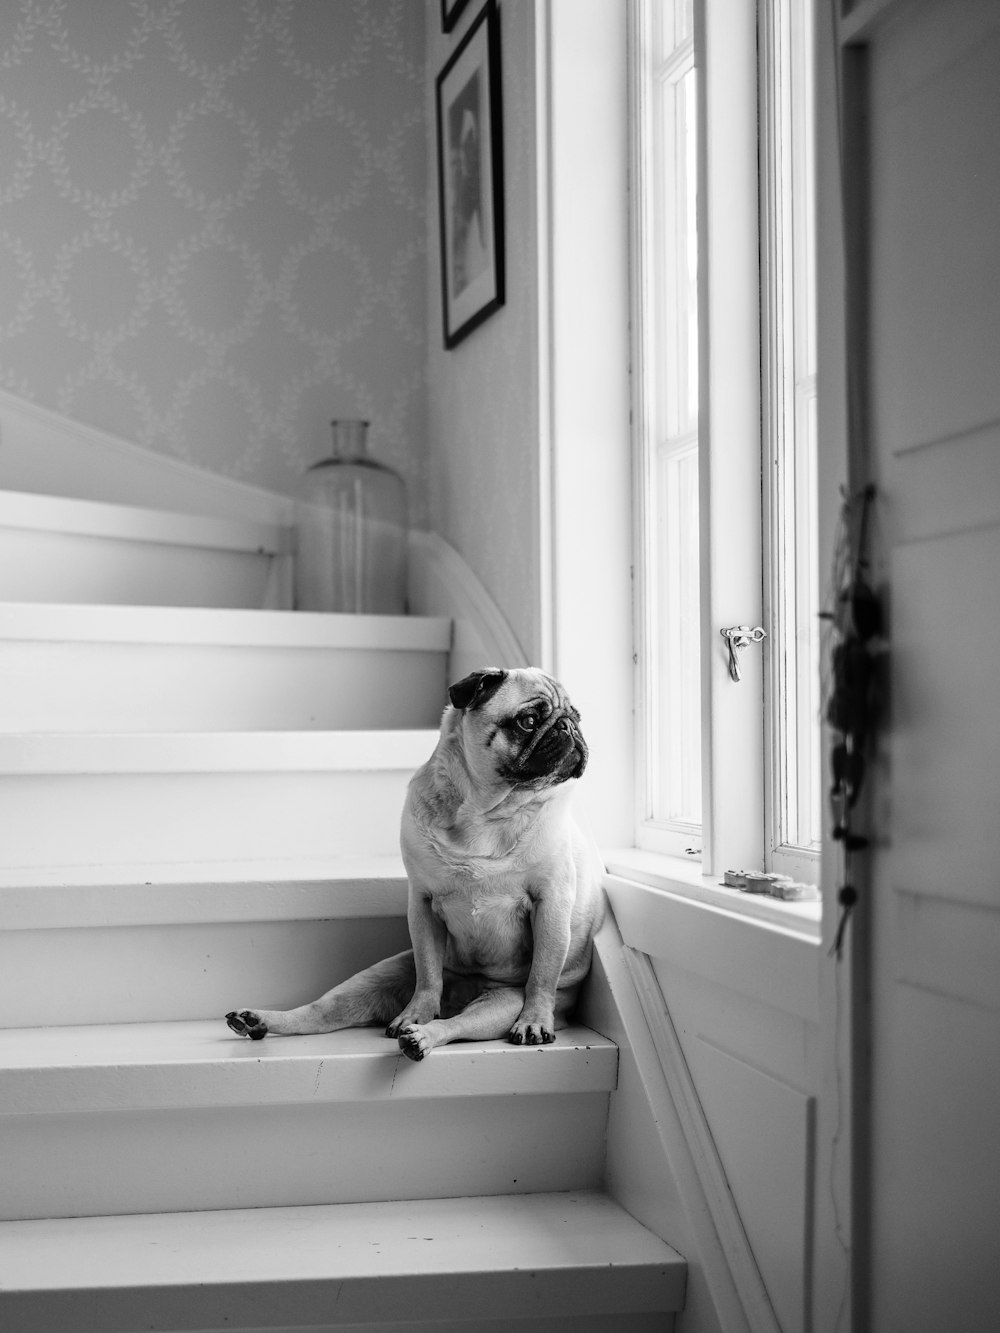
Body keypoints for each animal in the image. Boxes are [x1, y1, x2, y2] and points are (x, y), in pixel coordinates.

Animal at [226, 666, 602, 1061]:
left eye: (576, 717)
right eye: (528, 721)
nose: (569, 728)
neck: (486, 812)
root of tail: (460, 998)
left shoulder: (551, 905)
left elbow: (543, 974)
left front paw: (534, 1021)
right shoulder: (422, 905)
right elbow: (427, 974)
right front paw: (415, 1013)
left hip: (500, 1004)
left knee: (456, 1024)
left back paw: (422, 1036)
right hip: (375, 977)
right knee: (321, 1012)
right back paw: (261, 1020)